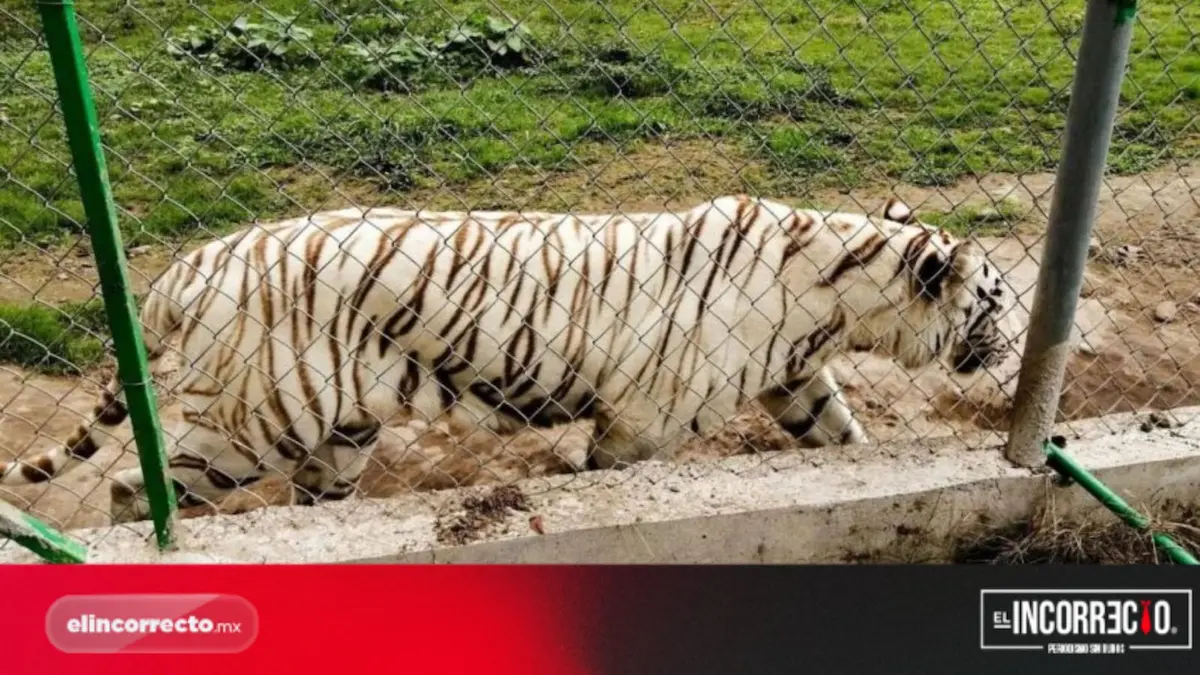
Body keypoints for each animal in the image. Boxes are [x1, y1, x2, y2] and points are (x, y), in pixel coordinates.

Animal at [0, 195, 1011, 523]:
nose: (1012, 347)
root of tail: (191, 262)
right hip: (256, 420)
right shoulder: (645, 419)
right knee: (134, 488)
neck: (839, 297)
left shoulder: (795, 377)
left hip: (339, 430)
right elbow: (611, 475)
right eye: (998, 300)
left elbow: (842, 439)